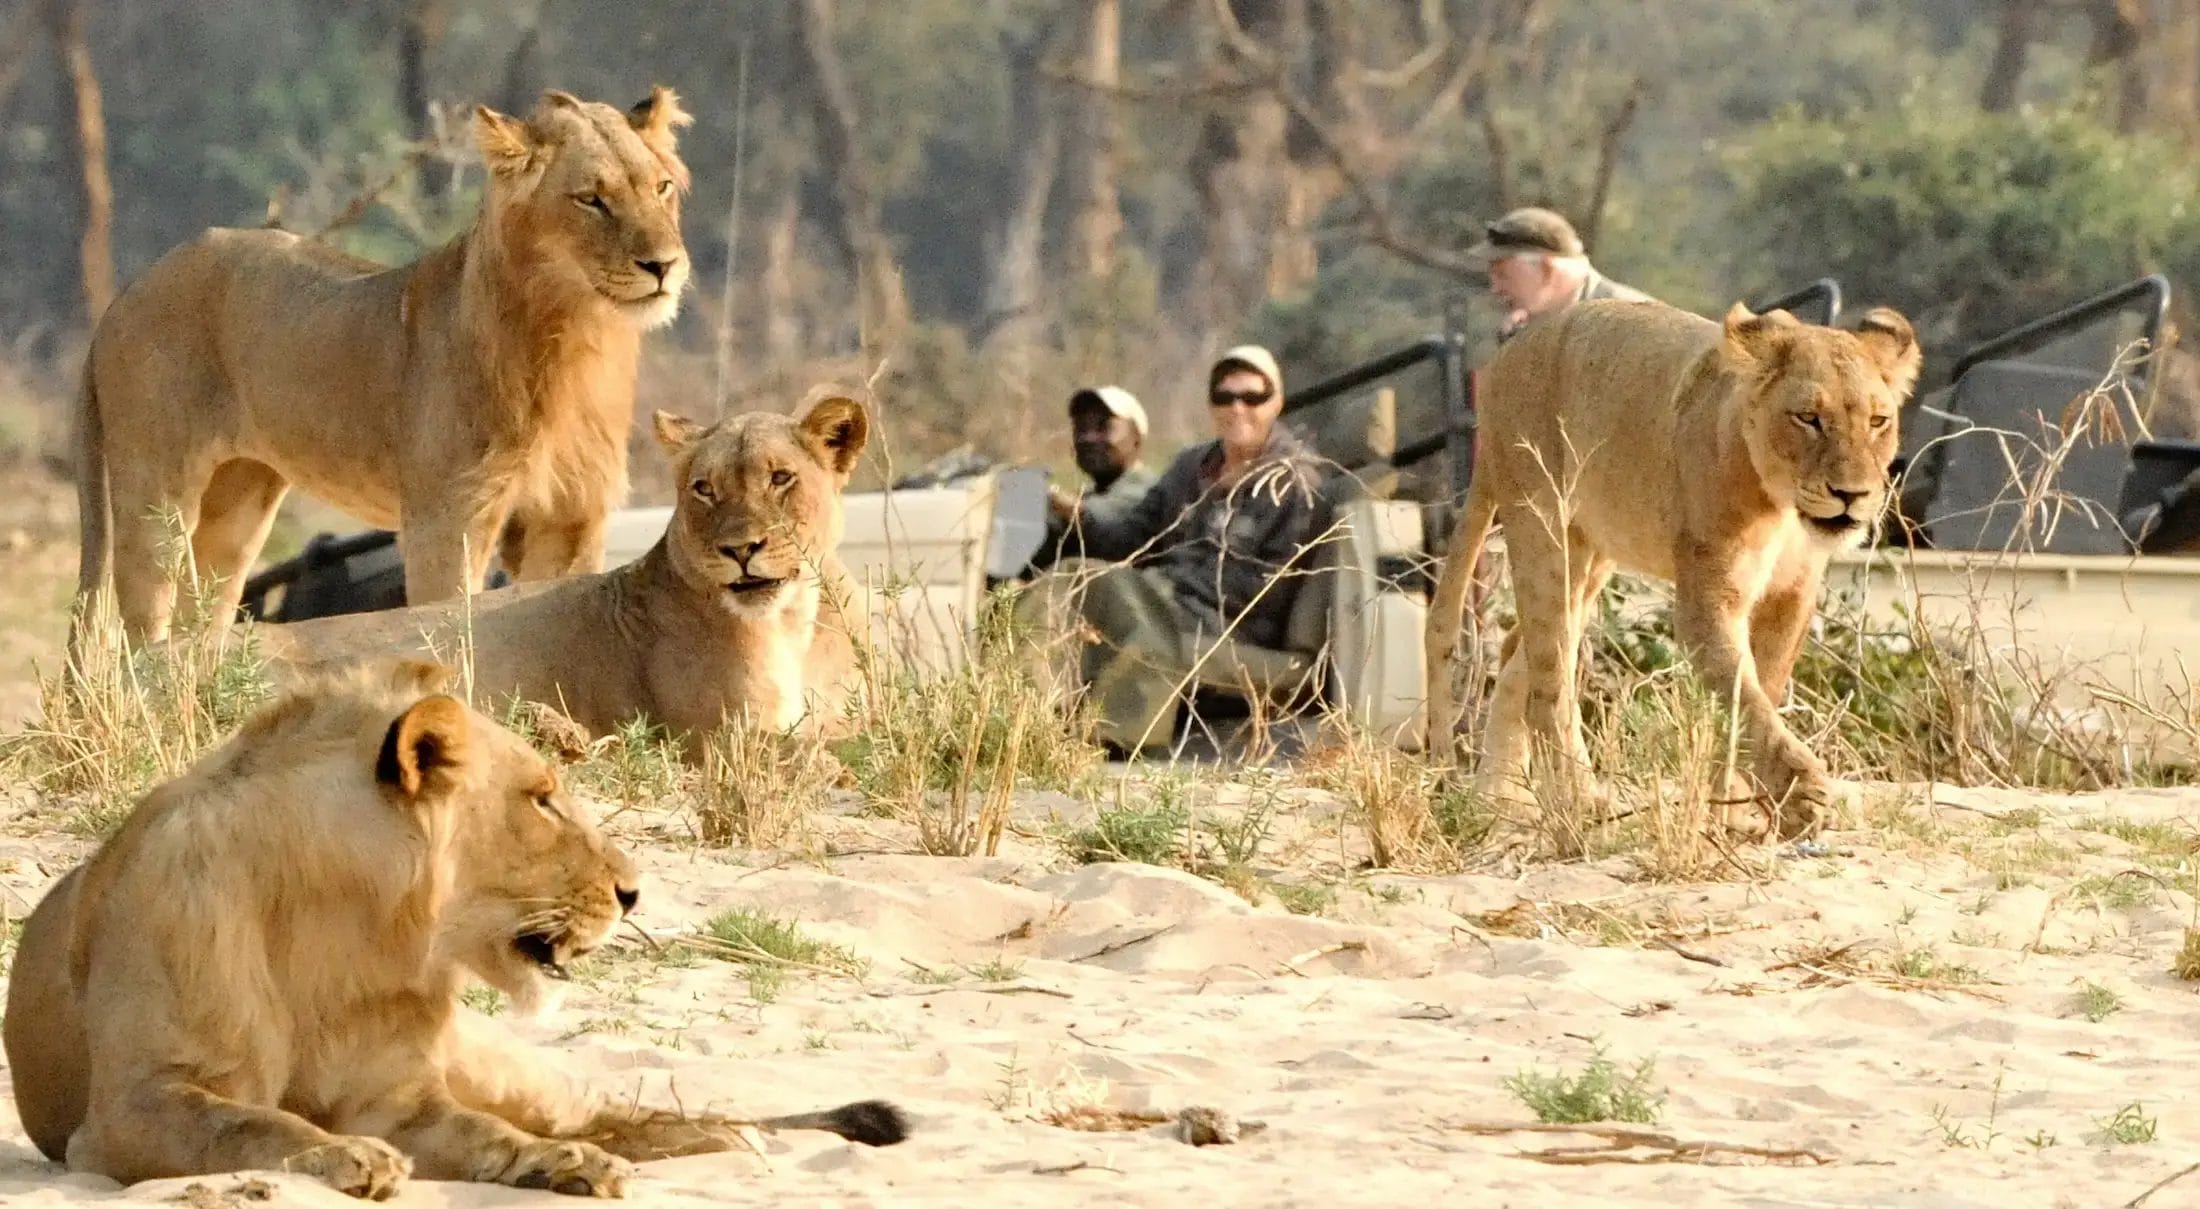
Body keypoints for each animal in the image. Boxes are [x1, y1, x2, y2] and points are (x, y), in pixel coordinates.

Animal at [3, 658, 906, 1199]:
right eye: (542, 799)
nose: (634, 891)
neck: (348, 928)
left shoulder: (401, 1095)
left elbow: (484, 1131)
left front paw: (565, 1165)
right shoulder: (130, 1106)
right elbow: (246, 1123)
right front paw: (347, 1156)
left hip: (508, 1064)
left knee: (602, 1104)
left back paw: (717, 1136)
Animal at [75, 87, 694, 648]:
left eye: (661, 187)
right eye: (591, 199)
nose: (664, 265)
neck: (578, 336)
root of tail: (124, 295)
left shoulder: (571, 519)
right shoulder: (446, 521)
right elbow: (452, 630)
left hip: (236, 506)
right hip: (155, 495)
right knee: (143, 629)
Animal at [253, 393, 870, 751]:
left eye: (780, 478)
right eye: (704, 489)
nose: (740, 549)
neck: (792, 621)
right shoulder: (713, 735)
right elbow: (813, 749)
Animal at [1422, 299, 1921, 841]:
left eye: (1878, 421)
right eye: (1808, 418)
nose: (1852, 495)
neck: (1783, 505)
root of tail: (1506, 355)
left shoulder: (1793, 594)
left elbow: (1759, 690)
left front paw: (1731, 809)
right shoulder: (1709, 597)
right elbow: (1741, 696)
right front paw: (1799, 794)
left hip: (1594, 552)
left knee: (1522, 651)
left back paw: (1500, 799)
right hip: (1541, 524)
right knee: (1549, 672)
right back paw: (1574, 798)